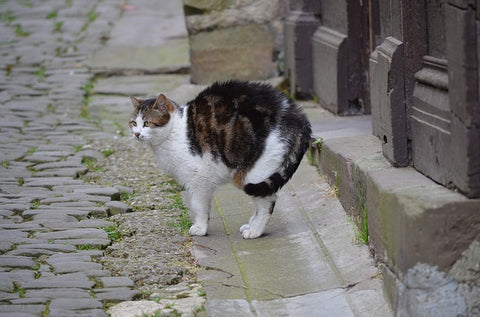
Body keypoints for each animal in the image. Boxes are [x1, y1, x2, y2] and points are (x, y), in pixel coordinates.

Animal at [129, 80, 312, 238]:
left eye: (147, 123)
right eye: (133, 123)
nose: (137, 134)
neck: (174, 131)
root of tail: (297, 113)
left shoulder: (199, 178)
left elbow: (198, 205)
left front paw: (200, 228)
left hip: (250, 173)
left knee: (268, 201)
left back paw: (255, 231)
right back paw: (251, 224)